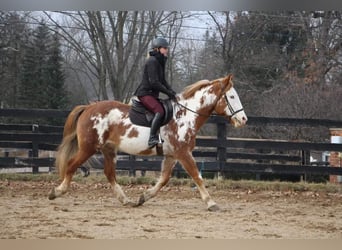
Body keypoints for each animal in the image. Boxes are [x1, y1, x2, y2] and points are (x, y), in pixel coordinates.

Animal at [48, 73, 247, 211]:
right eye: (232, 97)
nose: (244, 120)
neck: (185, 115)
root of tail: (88, 107)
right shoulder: (184, 154)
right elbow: (197, 176)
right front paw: (211, 203)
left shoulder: (172, 155)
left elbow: (164, 180)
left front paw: (144, 196)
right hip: (88, 148)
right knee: (72, 165)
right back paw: (57, 191)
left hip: (108, 150)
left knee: (109, 174)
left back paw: (125, 200)